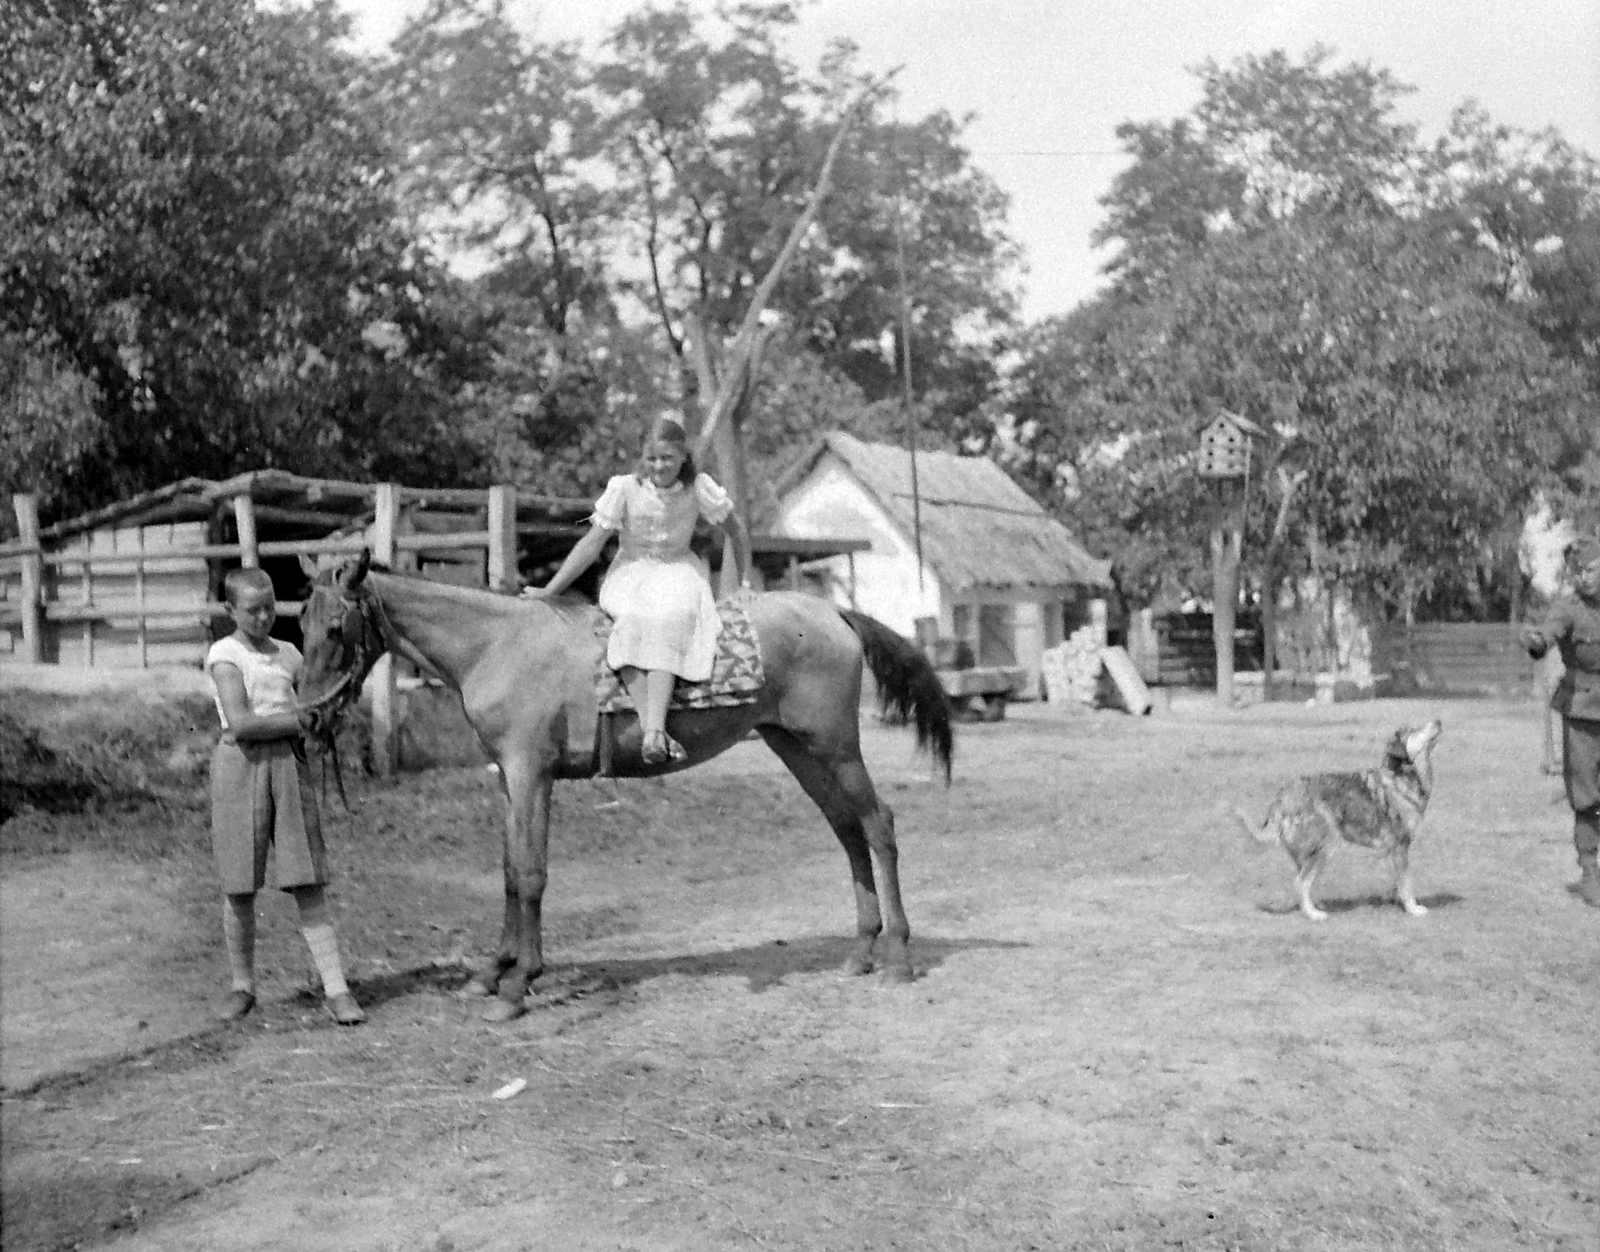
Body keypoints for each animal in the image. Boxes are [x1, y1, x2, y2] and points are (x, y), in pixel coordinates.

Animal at [297, 553, 947, 1024]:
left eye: (333, 627)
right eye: (298, 624)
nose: (308, 717)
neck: (496, 645)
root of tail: (836, 614)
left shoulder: (531, 772)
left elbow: (530, 874)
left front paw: (518, 985)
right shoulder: (510, 777)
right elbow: (509, 870)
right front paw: (491, 973)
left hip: (835, 747)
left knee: (878, 824)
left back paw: (896, 956)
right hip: (796, 747)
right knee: (847, 829)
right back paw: (860, 952)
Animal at [1235, 726, 1452, 922]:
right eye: (1415, 730)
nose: (1438, 721)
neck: (1403, 778)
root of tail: (1281, 798)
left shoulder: (1395, 851)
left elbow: (1398, 882)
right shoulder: (1401, 845)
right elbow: (1407, 883)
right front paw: (1413, 909)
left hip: (1309, 853)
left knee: (1303, 882)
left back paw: (1316, 905)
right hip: (1324, 849)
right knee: (1301, 883)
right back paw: (1314, 914)